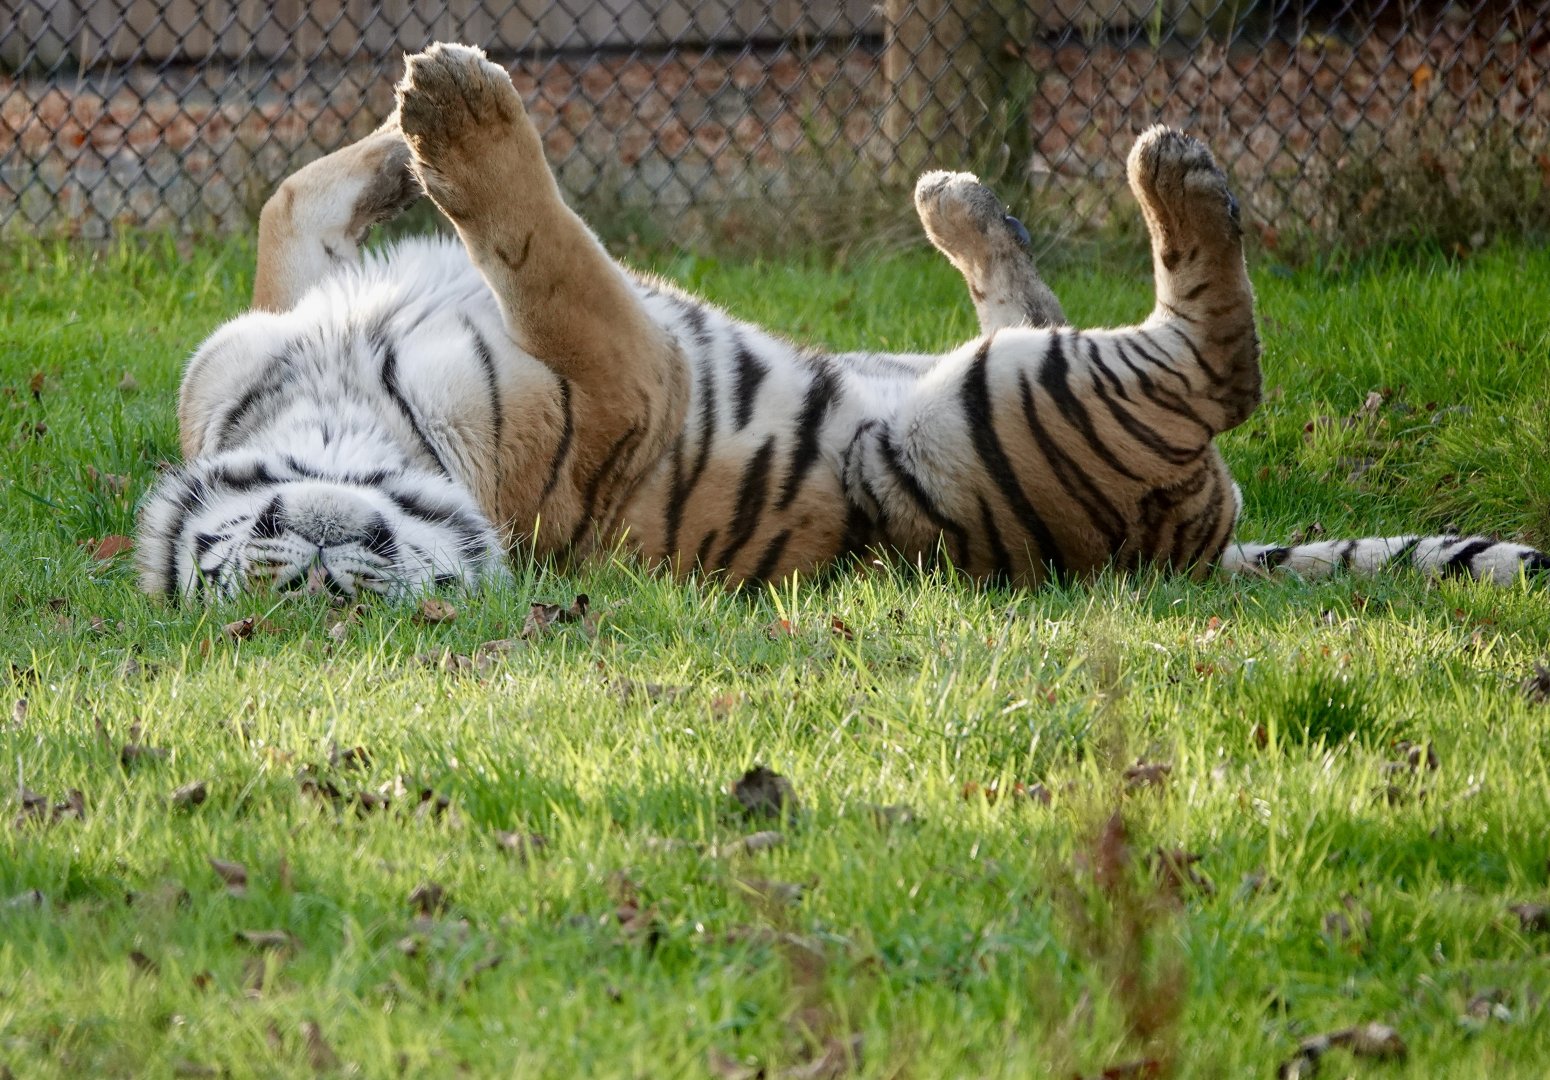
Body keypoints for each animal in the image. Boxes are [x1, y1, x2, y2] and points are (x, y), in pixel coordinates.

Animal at [135, 42, 1549, 601]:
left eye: (276, 554)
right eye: (283, 592)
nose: (322, 552)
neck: (337, 414)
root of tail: (1195, 552)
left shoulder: (264, 322)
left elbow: (285, 199)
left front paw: (408, 126)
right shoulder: (621, 374)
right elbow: (548, 253)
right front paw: (461, 121)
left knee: (1039, 302)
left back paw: (964, 203)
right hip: (986, 423)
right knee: (1213, 365)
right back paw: (1173, 178)